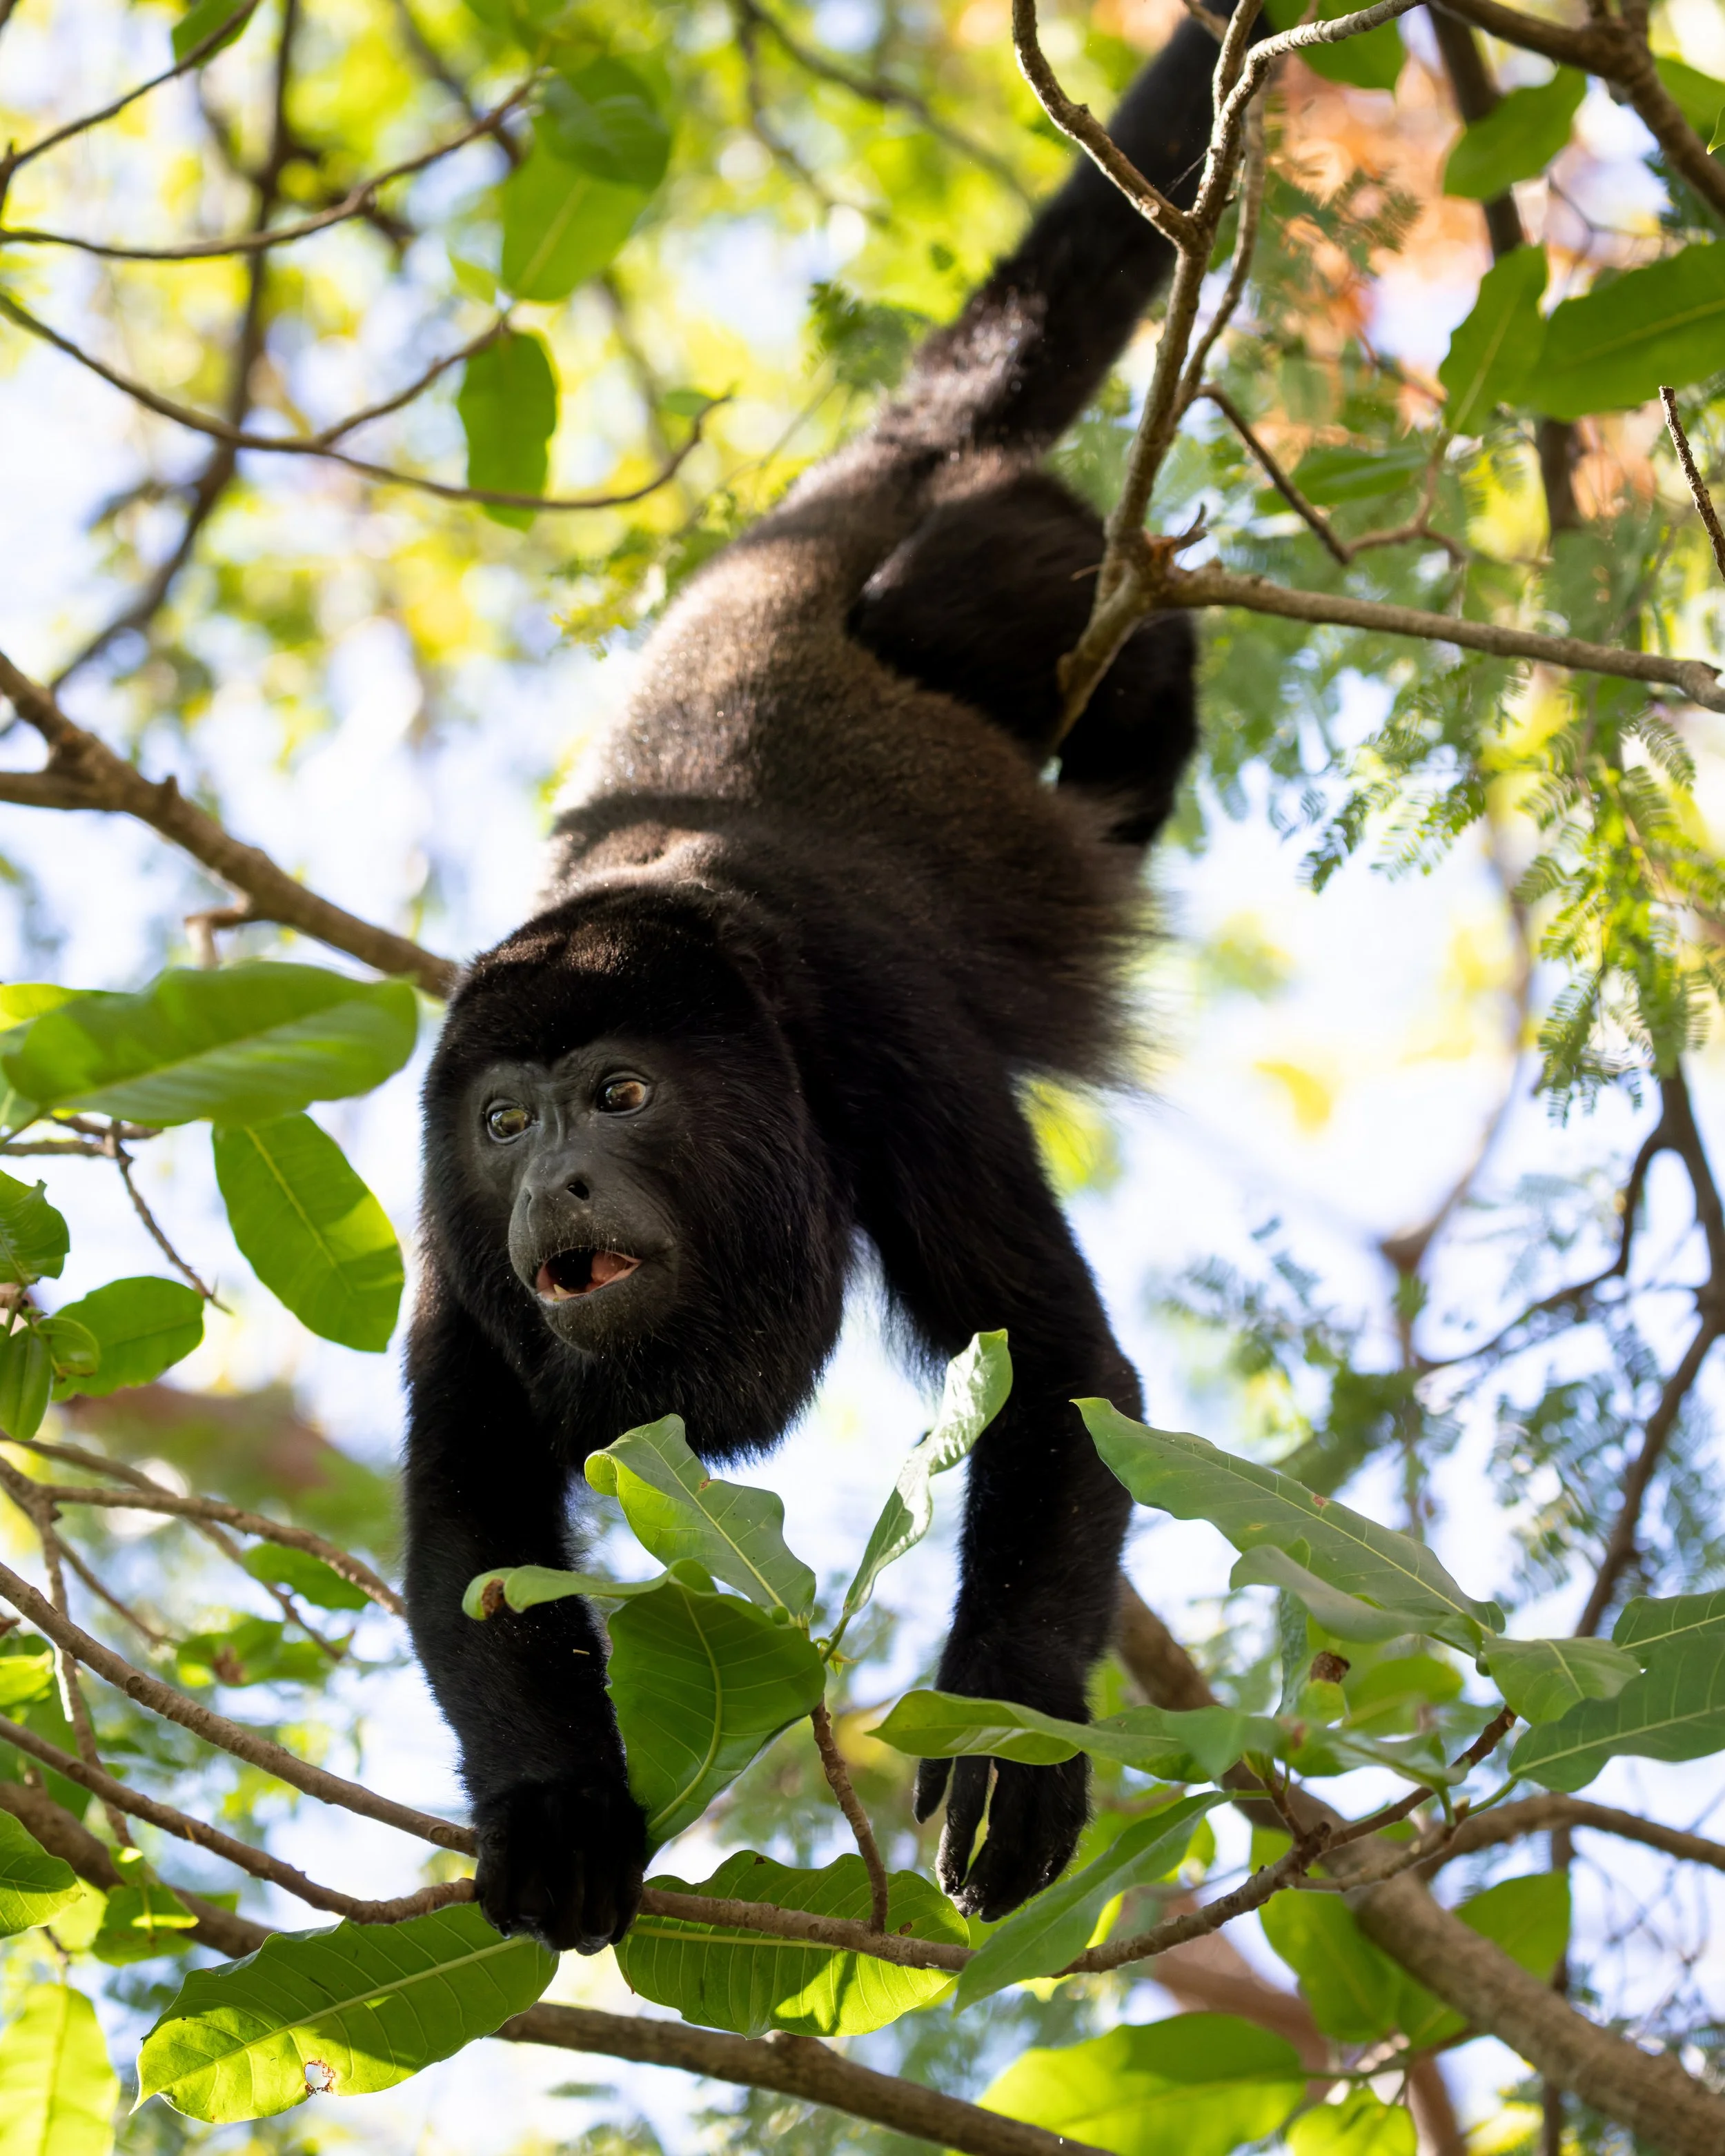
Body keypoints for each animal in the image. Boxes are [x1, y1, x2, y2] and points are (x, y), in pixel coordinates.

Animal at [403, 10, 1234, 1957]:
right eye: (503, 1120)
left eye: (621, 1093)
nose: (556, 1179)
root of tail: (858, 477)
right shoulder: (440, 1217)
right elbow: (471, 1512)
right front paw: (555, 1806)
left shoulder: (886, 1052)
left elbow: (1060, 1376)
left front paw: (1008, 1740)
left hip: (1007, 534)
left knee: (1033, 620)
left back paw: (1118, 768)